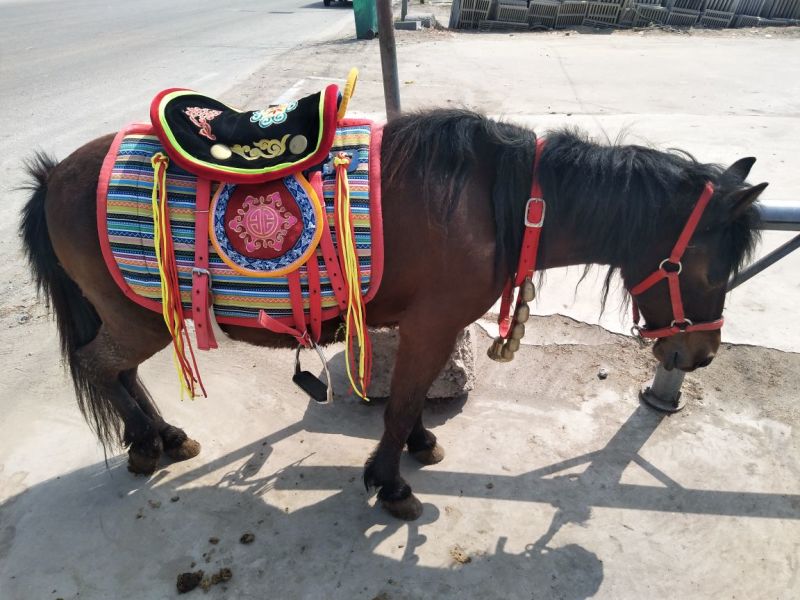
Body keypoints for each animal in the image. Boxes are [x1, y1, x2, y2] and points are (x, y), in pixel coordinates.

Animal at [20, 108, 765, 520]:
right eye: (708, 271)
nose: (698, 356)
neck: (505, 203)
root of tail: (54, 175)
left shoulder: (427, 325)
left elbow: (412, 398)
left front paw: (413, 449)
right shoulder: (432, 323)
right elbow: (403, 401)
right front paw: (391, 483)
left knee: (117, 374)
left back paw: (163, 436)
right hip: (139, 319)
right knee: (101, 368)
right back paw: (148, 443)